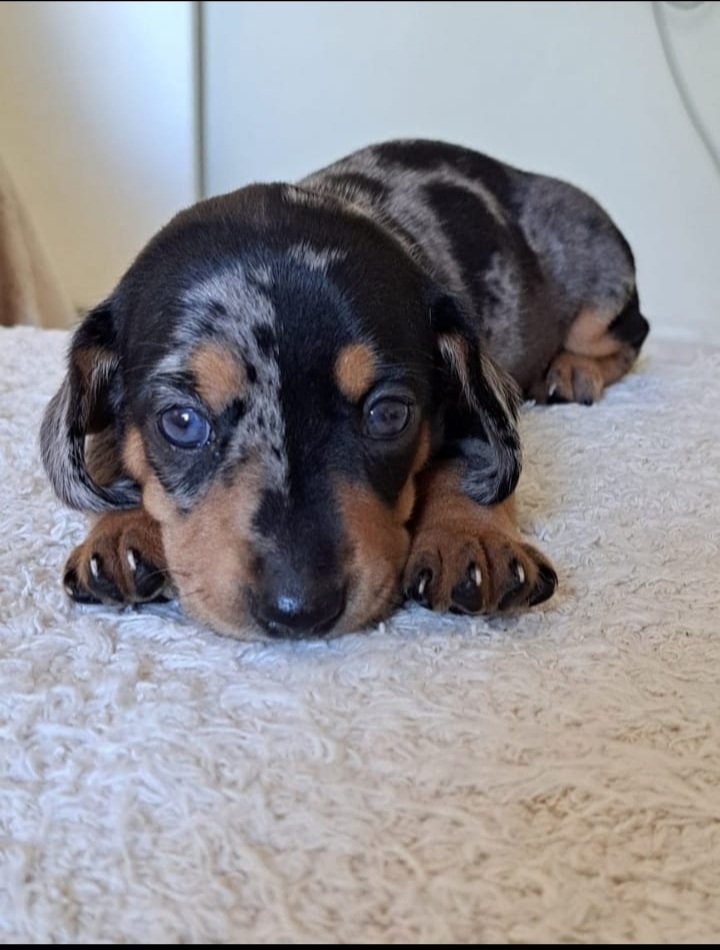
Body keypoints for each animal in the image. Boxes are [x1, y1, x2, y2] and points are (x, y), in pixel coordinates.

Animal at [40, 138, 648, 644]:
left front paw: (472, 540)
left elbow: (470, 461)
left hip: (598, 280)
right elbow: (108, 453)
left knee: (627, 333)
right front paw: (121, 530)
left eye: (389, 415)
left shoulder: (475, 397)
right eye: (182, 422)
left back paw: (572, 371)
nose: (299, 610)